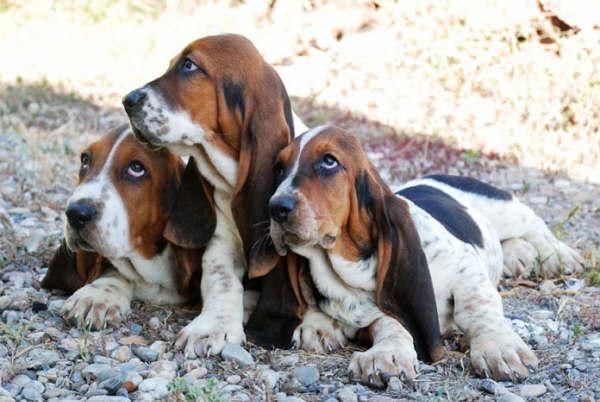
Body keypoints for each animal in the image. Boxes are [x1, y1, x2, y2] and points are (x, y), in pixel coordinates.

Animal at [264, 125, 584, 386]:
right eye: (279, 168)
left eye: (329, 161)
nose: (276, 207)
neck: (347, 267)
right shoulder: (374, 311)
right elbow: (392, 323)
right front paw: (386, 355)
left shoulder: (465, 265)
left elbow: (478, 309)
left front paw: (498, 346)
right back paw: (520, 255)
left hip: (505, 209)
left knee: (536, 226)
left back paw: (560, 257)